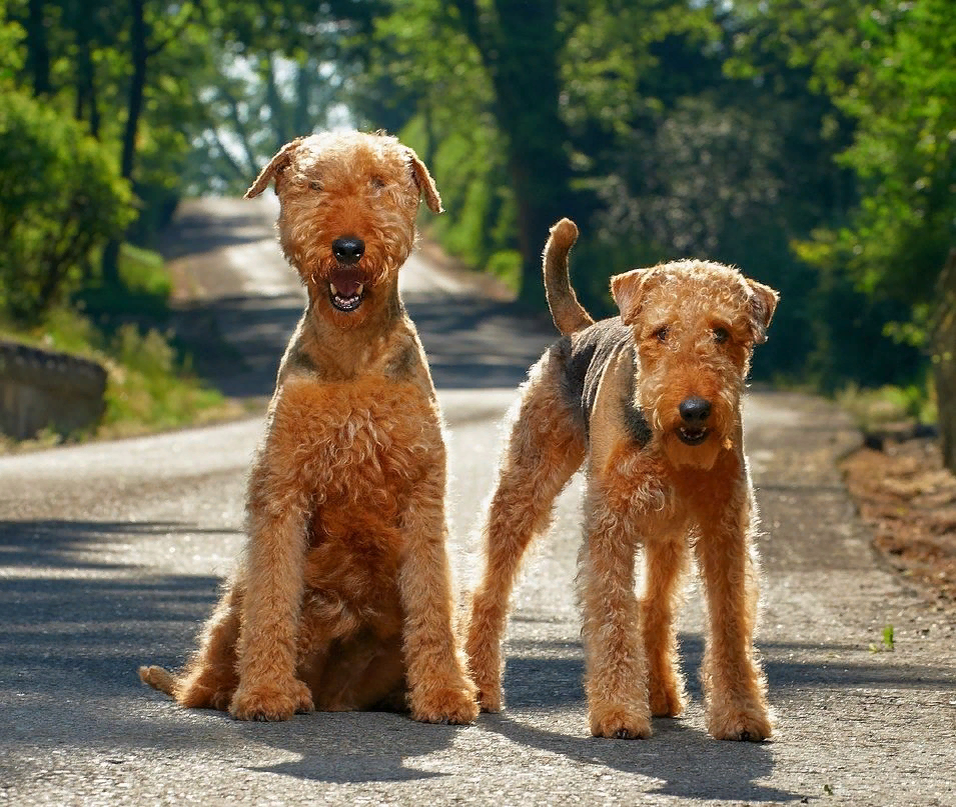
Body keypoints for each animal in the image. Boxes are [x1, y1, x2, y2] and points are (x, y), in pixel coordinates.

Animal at [138, 133, 478, 724]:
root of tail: (330, 694)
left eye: (379, 185)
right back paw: (253, 690)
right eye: (313, 185)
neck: (351, 357)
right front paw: (265, 694)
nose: (347, 248)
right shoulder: (282, 489)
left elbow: (432, 605)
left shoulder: (422, 493)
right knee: (211, 667)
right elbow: (273, 600)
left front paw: (445, 696)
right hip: (237, 599)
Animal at [466, 218, 780, 740]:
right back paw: (478, 686)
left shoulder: (724, 528)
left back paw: (661, 693)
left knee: (655, 607)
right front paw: (617, 712)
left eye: (722, 332)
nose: (693, 410)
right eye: (661, 332)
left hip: (667, 530)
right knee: (491, 585)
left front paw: (741, 715)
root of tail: (583, 327)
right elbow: (613, 612)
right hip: (527, 483)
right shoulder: (611, 521)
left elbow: (729, 621)